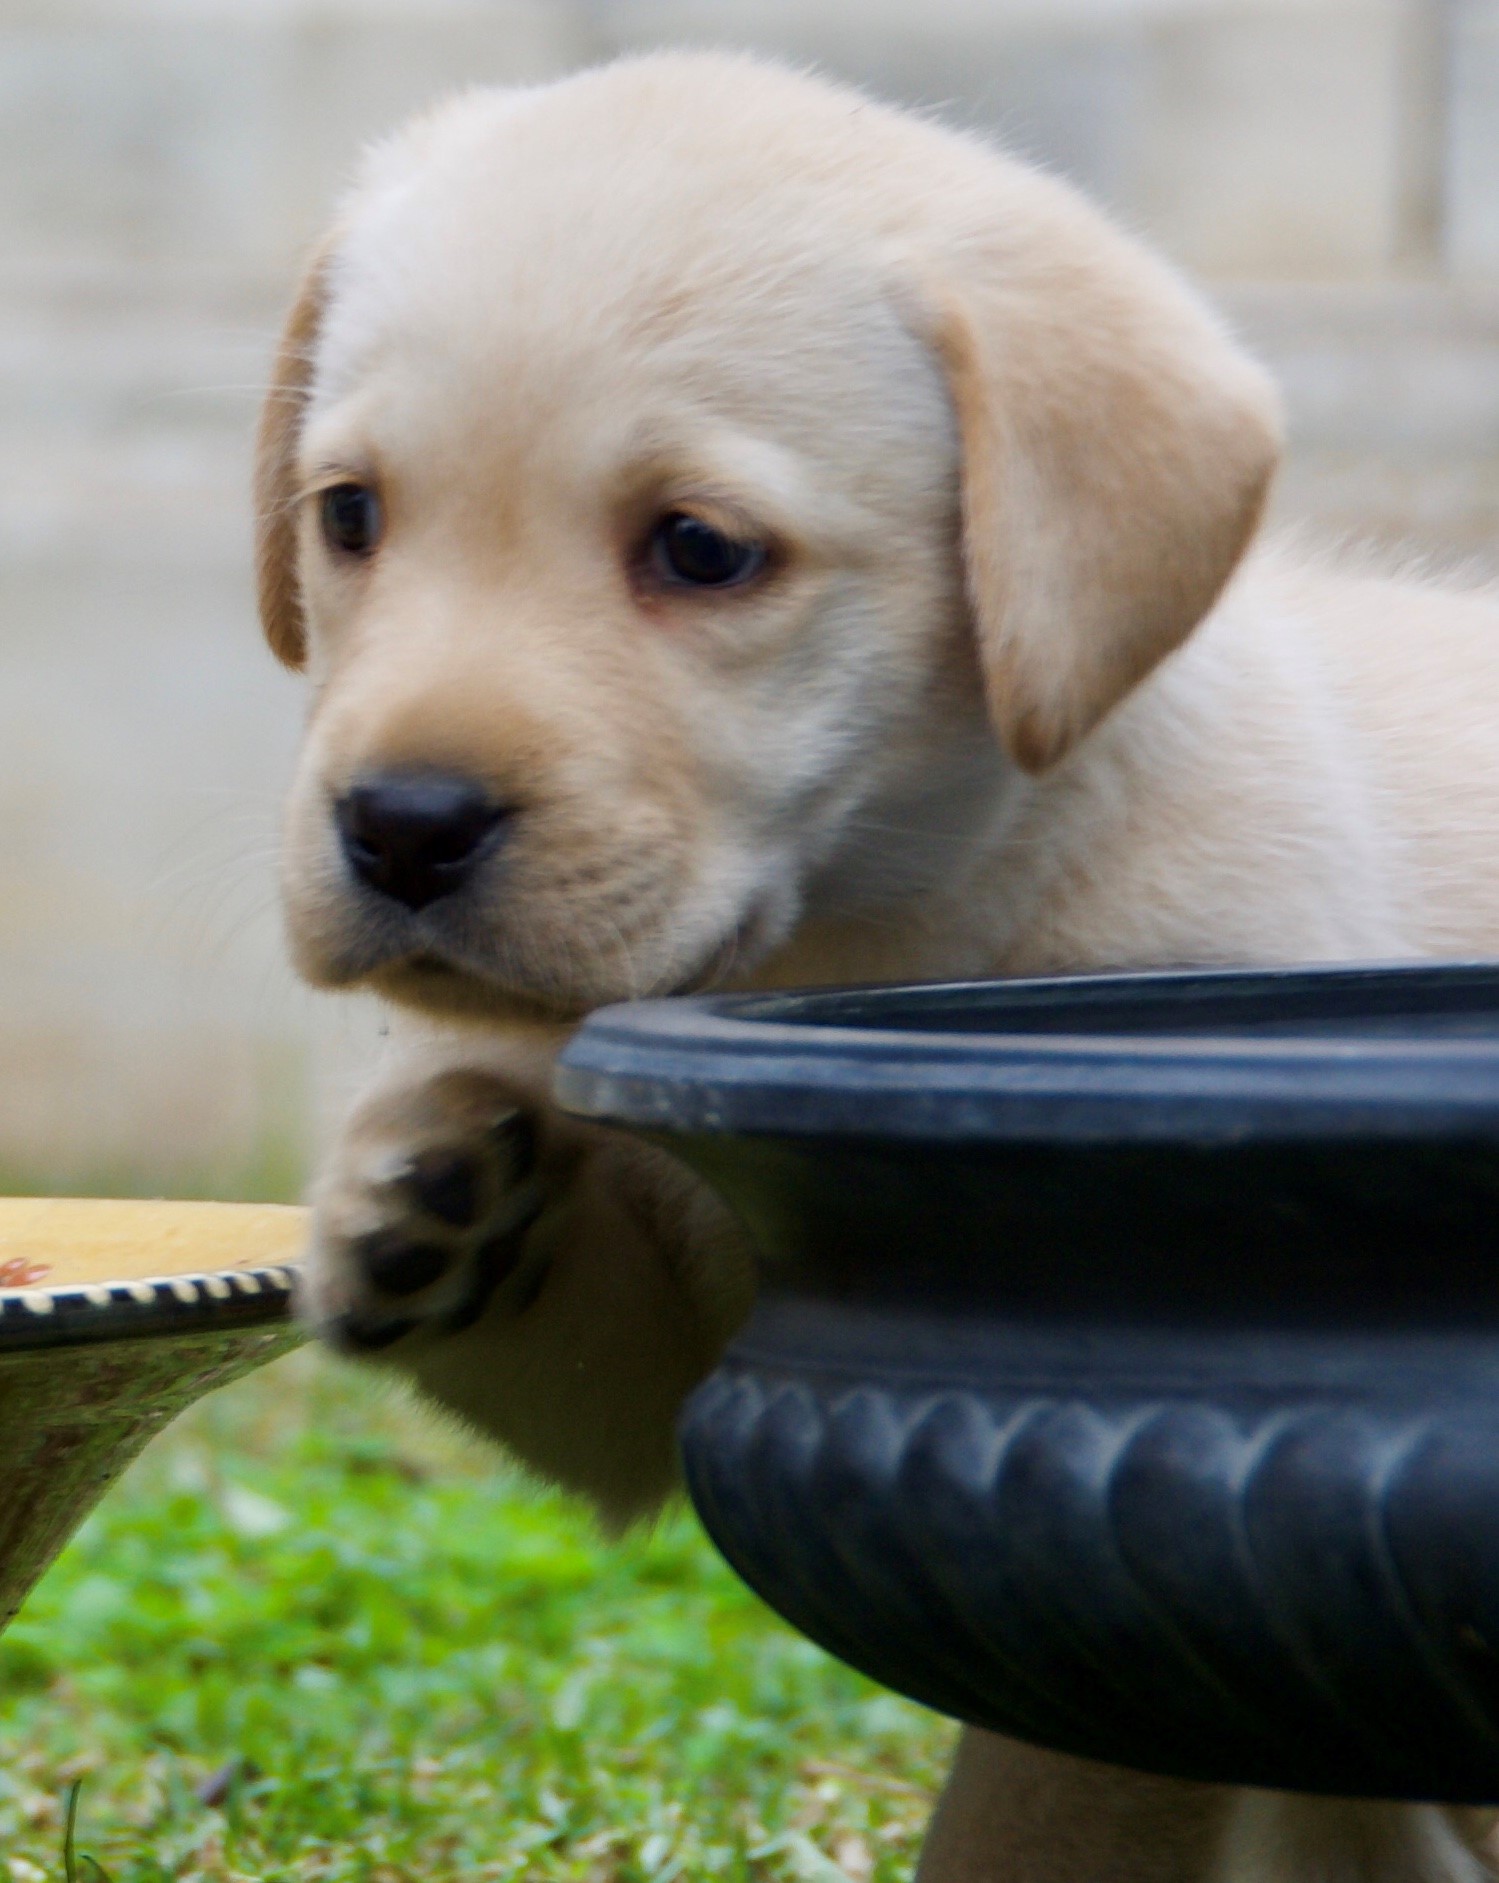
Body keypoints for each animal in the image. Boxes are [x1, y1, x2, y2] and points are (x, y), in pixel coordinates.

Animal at [254, 51, 1499, 1875]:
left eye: (699, 549)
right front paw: (416, 1186)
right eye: (349, 518)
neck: (877, 923)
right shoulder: (681, 1372)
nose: (401, 826)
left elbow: (1059, 1792)